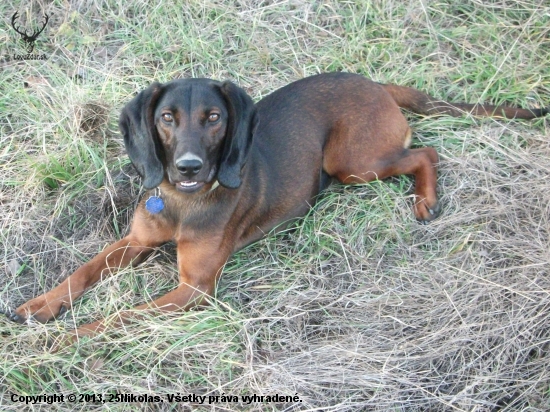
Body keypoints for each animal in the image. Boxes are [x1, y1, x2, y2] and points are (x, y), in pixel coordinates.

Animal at [7, 72, 548, 340]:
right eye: (166, 117)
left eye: (213, 118)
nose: (187, 167)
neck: (184, 202)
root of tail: (376, 84)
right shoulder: (135, 241)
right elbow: (82, 271)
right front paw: (39, 307)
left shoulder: (193, 289)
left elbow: (122, 316)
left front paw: (67, 338)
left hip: (353, 162)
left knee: (426, 153)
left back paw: (425, 200)